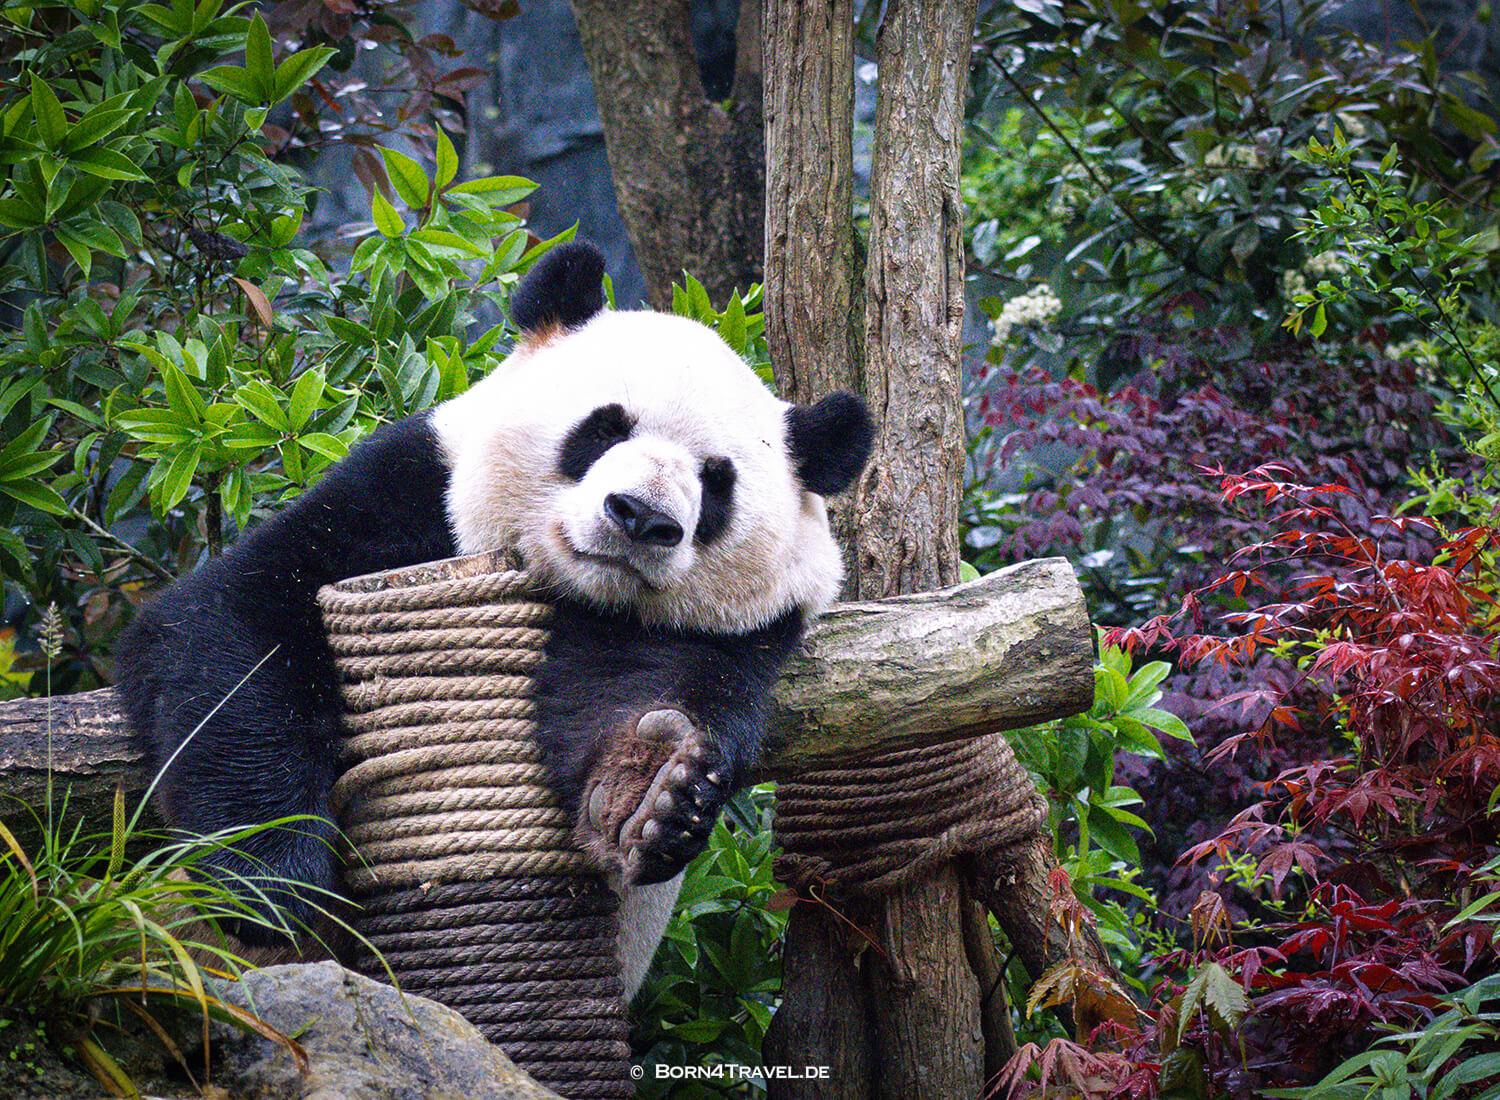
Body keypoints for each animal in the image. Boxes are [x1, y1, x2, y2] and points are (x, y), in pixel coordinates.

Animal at [115, 242, 874, 997]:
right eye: (603, 428)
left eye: (717, 482)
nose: (639, 516)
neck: (573, 584)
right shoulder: (411, 487)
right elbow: (239, 624)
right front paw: (272, 882)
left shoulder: (726, 629)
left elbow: (650, 691)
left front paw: (651, 793)